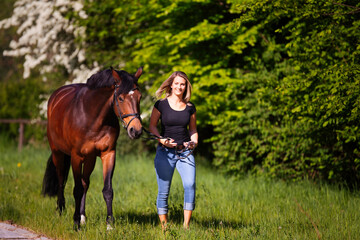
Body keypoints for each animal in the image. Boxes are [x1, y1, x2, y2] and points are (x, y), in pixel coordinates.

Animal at [42, 65, 143, 229]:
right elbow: (76, 189)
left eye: (139, 97)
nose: (136, 130)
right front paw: (76, 223)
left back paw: (83, 216)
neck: (92, 117)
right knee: (61, 180)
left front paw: (109, 224)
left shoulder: (108, 154)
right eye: (120, 98)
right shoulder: (76, 157)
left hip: (90, 159)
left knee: (85, 183)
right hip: (58, 153)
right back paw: (61, 210)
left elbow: (107, 190)